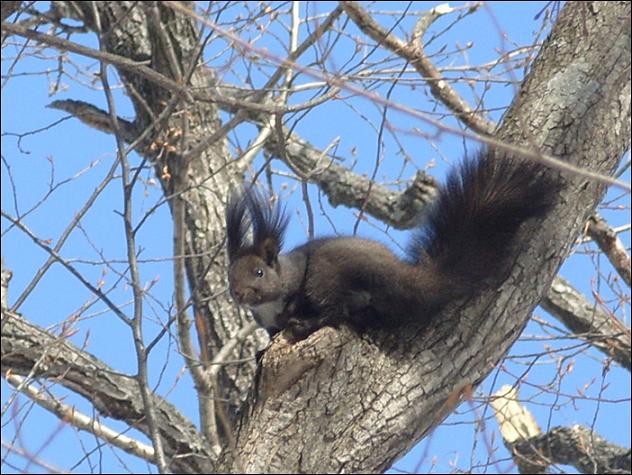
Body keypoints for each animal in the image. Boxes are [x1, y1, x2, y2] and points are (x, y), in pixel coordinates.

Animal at [225, 151, 556, 340]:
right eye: (229, 275)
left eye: (259, 272)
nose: (238, 294)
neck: (268, 305)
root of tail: (404, 276)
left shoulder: (300, 280)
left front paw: (293, 315)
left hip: (325, 273)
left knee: (336, 310)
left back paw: (307, 322)